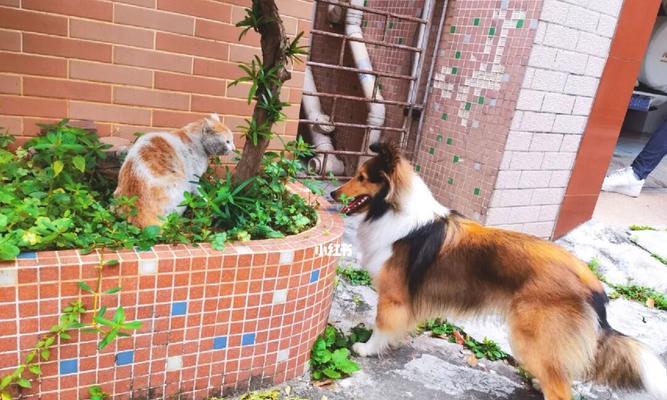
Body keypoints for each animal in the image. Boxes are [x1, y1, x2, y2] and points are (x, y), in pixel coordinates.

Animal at [330, 142, 667, 398]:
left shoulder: (393, 296)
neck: (393, 210)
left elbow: (381, 325)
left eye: (362, 177)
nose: (333, 194)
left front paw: (366, 349)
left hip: (530, 337)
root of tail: (594, 287)